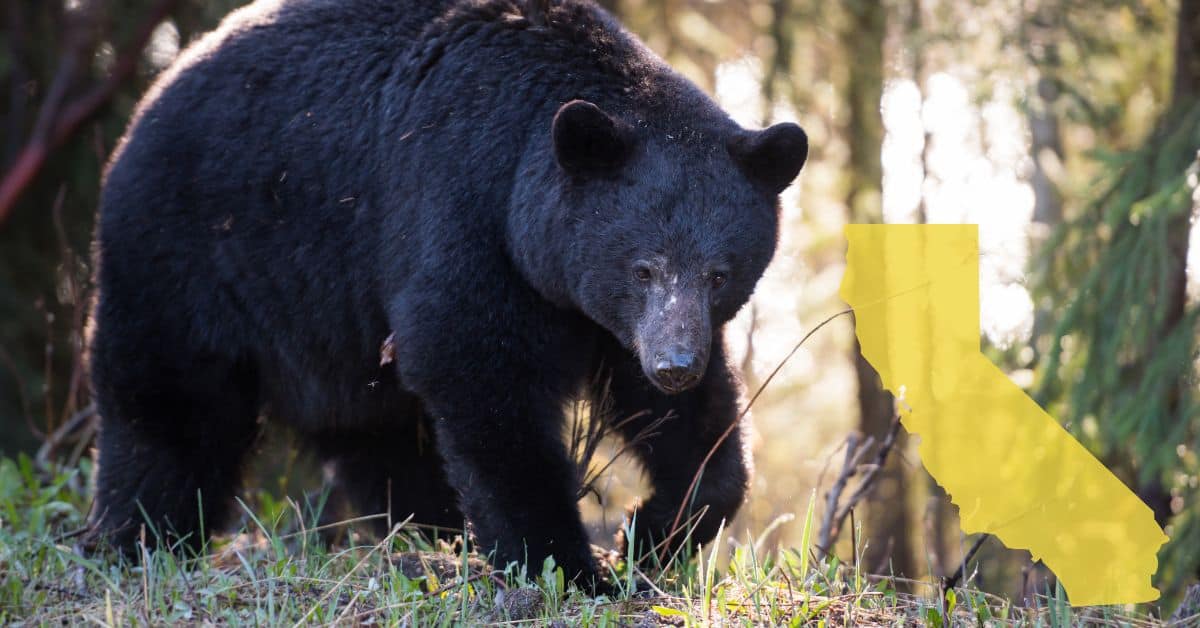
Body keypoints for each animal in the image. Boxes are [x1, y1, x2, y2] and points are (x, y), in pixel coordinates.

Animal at [85, 0, 808, 592]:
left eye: (719, 273)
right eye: (643, 269)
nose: (674, 366)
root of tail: (150, 98)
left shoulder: (608, 319)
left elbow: (688, 423)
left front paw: (652, 533)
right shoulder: (459, 204)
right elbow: (474, 367)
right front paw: (567, 565)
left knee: (376, 435)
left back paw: (428, 534)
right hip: (192, 253)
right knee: (171, 408)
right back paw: (139, 539)